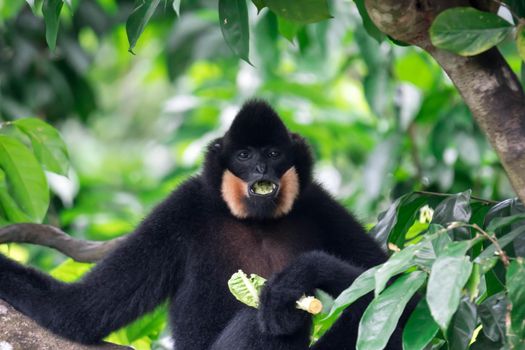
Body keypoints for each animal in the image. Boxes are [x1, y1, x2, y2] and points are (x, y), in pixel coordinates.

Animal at [0, 100, 406, 348]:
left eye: (273, 153)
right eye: (245, 155)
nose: (262, 168)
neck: (257, 223)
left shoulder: (319, 204)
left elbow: (396, 279)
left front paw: (302, 272)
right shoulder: (182, 207)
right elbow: (79, 310)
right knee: (261, 316)